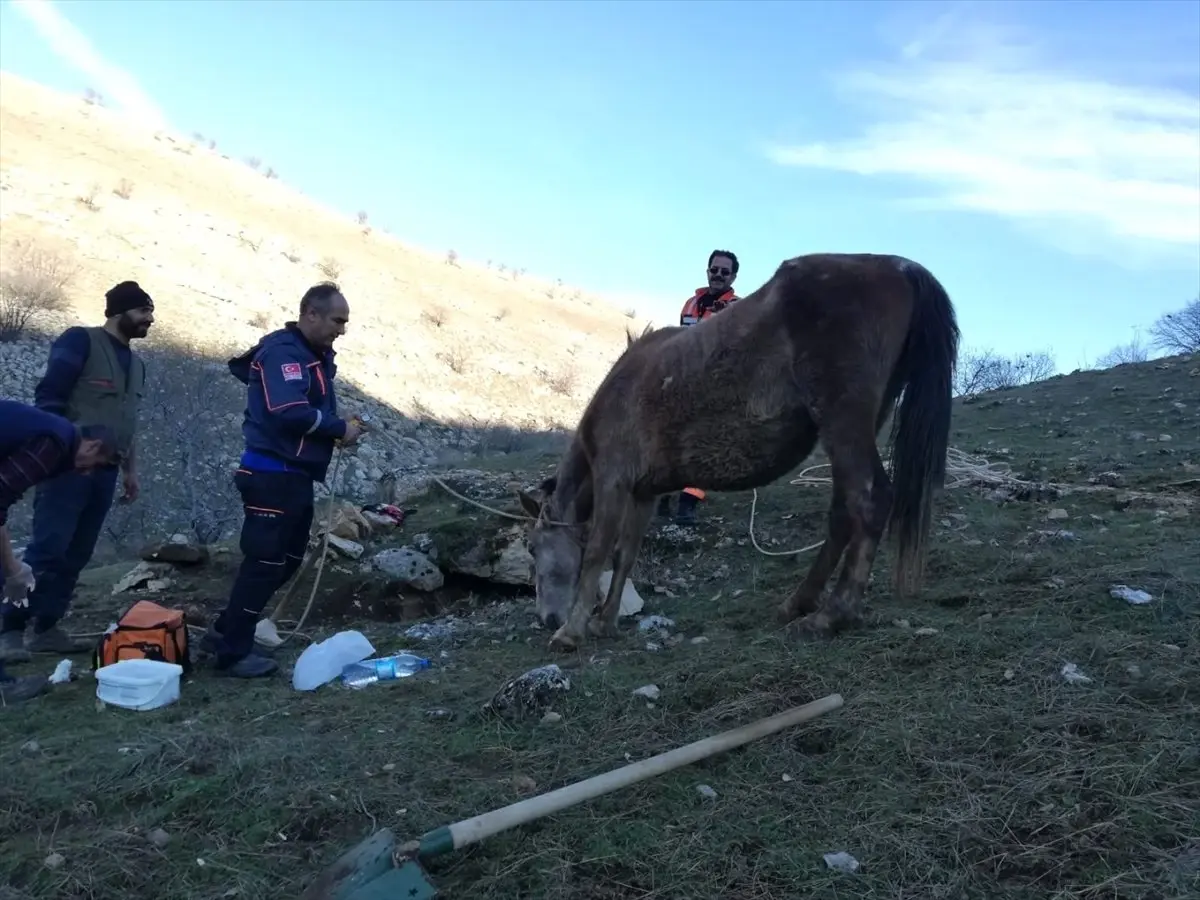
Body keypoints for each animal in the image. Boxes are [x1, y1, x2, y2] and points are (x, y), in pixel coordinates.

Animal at [520, 250, 960, 652]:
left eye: (534, 547)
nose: (547, 618)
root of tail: (902, 268)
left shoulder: (613, 479)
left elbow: (597, 552)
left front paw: (572, 631)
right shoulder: (645, 492)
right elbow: (626, 554)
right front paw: (605, 621)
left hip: (843, 418)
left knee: (869, 499)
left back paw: (831, 616)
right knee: (842, 512)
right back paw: (797, 604)